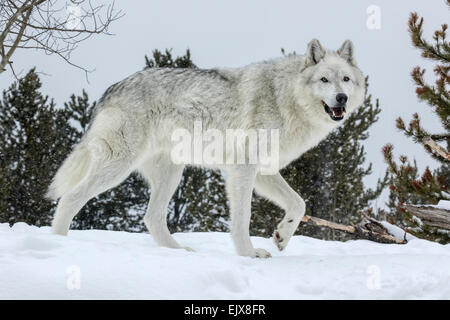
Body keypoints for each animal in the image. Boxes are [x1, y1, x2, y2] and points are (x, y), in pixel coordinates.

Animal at [47, 39, 368, 258]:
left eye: (346, 79)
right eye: (324, 79)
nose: (341, 98)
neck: (284, 97)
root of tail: (111, 88)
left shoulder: (264, 172)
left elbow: (299, 204)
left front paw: (282, 236)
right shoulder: (243, 169)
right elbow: (242, 218)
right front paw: (249, 254)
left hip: (170, 175)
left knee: (152, 218)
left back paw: (180, 253)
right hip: (118, 168)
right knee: (69, 199)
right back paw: (59, 244)